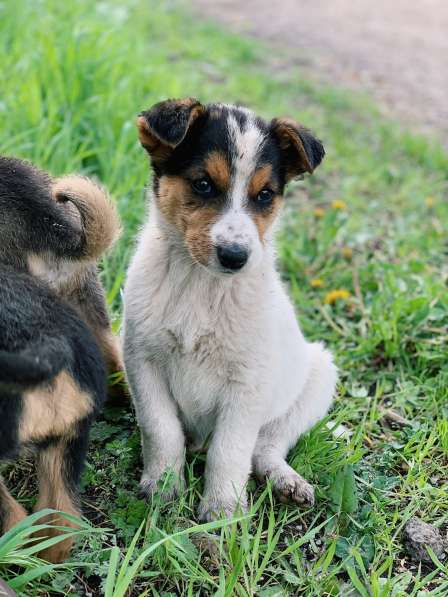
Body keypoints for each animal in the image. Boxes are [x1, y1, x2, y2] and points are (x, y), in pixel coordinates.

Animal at [122, 100, 336, 520]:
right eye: (203, 184)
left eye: (265, 195)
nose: (236, 257)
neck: (201, 285)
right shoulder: (141, 359)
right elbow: (161, 428)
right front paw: (164, 486)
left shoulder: (248, 383)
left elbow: (230, 449)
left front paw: (223, 509)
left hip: (319, 377)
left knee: (265, 445)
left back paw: (285, 480)